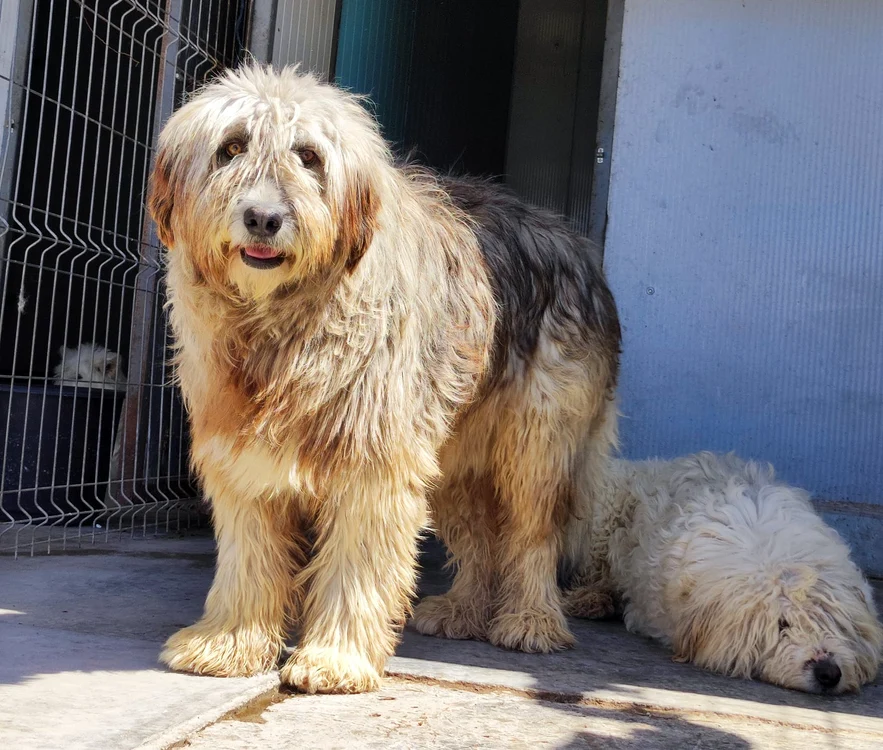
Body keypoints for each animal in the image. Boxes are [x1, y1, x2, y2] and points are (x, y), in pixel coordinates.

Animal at [145, 67, 620, 696]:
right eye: (231, 148)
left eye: (308, 157)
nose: (264, 219)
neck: (281, 326)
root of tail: (575, 241)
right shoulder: (242, 455)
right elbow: (249, 555)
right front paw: (229, 642)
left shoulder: (372, 461)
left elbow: (356, 561)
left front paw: (335, 658)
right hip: (455, 452)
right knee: (481, 539)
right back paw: (463, 609)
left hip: (537, 442)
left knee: (532, 533)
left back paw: (531, 619)